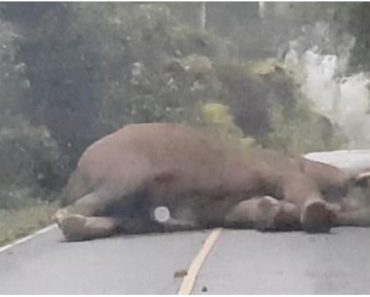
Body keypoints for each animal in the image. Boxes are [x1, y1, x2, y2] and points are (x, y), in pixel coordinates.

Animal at [55, 122, 370, 240]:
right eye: (359, 187)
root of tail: (74, 177)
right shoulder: (279, 169)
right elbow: (297, 187)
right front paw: (318, 214)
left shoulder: (228, 208)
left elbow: (247, 210)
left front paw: (276, 213)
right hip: (125, 173)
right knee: (68, 212)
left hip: (126, 208)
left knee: (111, 220)